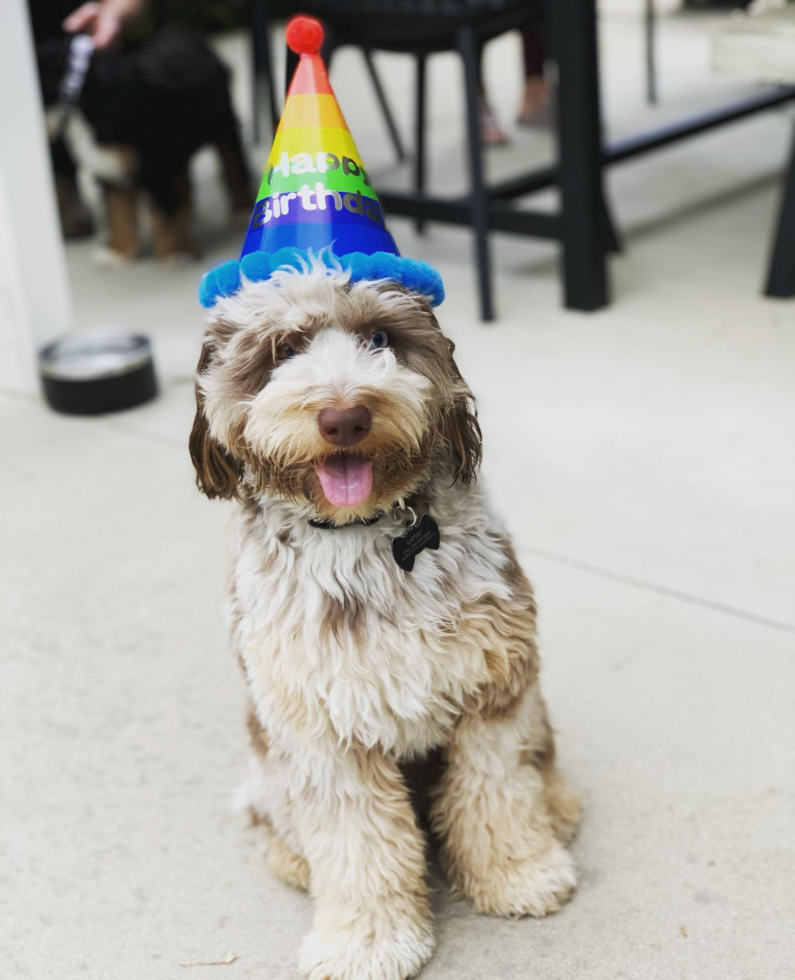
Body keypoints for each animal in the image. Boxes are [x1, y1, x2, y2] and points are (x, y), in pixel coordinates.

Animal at [36, 32, 249, 266]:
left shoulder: (155, 163)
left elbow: (165, 211)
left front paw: (175, 252)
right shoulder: (110, 165)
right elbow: (118, 208)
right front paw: (118, 250)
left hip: (222, 122)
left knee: (233, 164)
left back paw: (242, 210)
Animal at [190, 258, 580, 980]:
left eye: (379, 338)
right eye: (283, 350)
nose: (345, 417)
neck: (365, 536)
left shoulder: (493, 688)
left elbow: (498, 792)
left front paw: (518, 873)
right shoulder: (320, 733)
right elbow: (358, 845)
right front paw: (366, 942)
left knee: (537, 762)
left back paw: (558, 806)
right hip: (266, 763)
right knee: (273, 818)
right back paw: (291, 859)